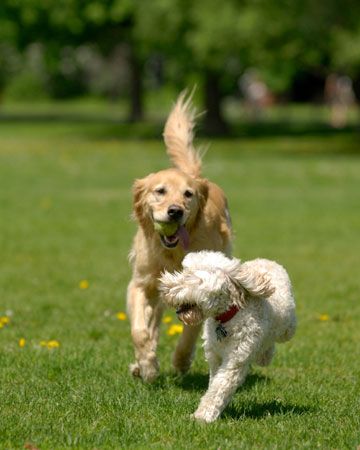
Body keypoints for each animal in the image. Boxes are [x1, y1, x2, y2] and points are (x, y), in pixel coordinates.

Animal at [160, 251, 296, 424]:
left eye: (191, 277)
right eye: (184, 270)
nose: (164, 288)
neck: (227, 317)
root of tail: (265, 260)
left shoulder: (235, 360)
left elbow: (220, 386)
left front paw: (202, 416)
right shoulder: (214, 356)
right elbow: (214, 383)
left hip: (287, 326)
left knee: (274, 339)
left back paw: (265, 355)